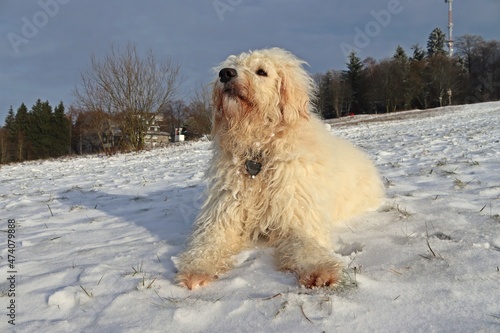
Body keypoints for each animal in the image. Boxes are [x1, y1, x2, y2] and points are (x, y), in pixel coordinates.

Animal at [176, 46, 382, 288]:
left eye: (261, 71)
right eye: (232, 66)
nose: (225, 73)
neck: (258, 150)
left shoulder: (297, 213)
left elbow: (306, 244)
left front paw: (319, 269)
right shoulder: (225, 214)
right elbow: (210, 242)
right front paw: (198, 268)